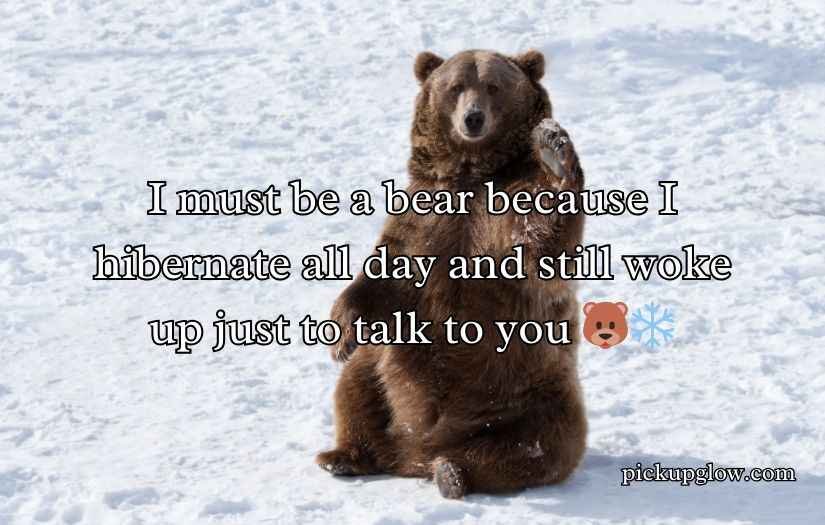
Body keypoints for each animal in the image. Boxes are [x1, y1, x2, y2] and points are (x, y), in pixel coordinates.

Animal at [316, 49, 587, 499]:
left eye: (493, 86)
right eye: (456, 86)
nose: (473, 118)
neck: (470, 177)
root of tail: (414, 454)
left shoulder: (501, 215)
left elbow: (543, 245)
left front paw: (553, 149)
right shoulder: (424, 217)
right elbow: (385, 271)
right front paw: (341, 336)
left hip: (533, 395)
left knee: (538, 446)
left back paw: (453, 473)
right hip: (384, 371)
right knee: (356, 389)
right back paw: (343, 455)